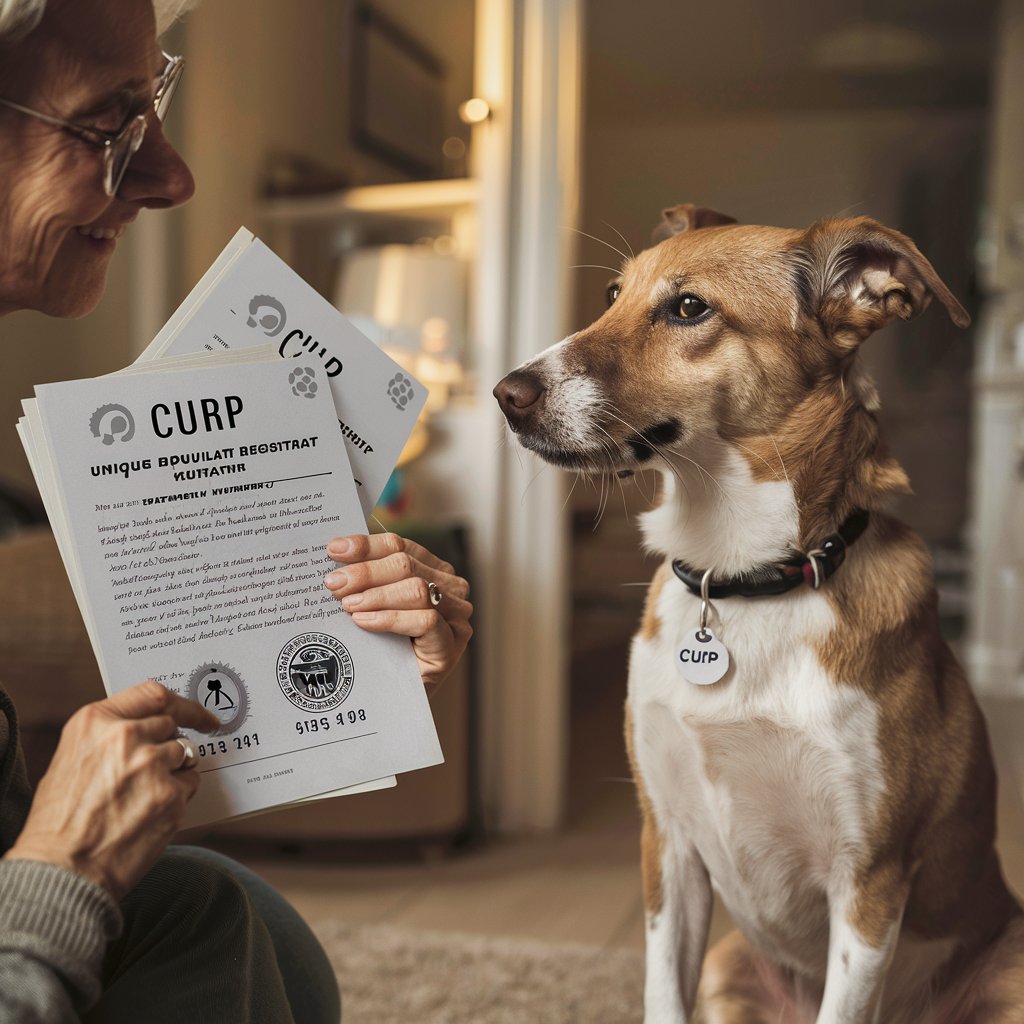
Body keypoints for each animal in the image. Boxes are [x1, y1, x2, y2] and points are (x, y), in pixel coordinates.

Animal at [491, 203, 1024, 1019]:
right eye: (613, 294)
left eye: (688, 308)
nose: (505, 394)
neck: (741, 577)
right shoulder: (667, 845)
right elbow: (660, 996)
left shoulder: (868, 885)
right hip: (726, 968)